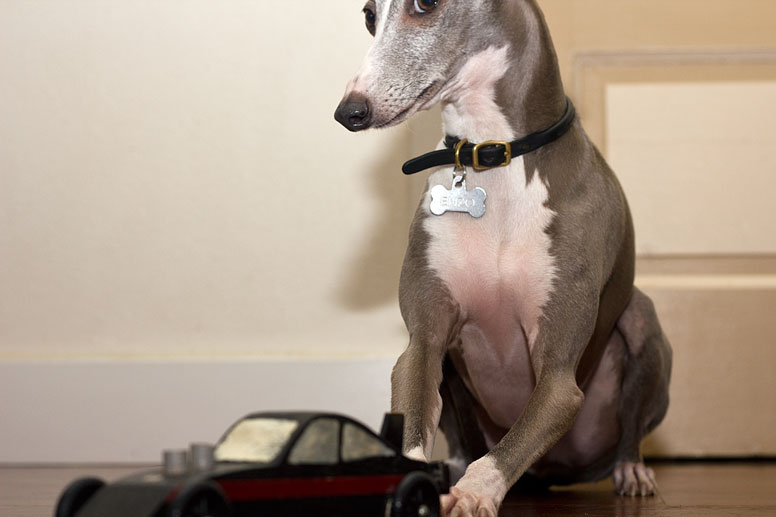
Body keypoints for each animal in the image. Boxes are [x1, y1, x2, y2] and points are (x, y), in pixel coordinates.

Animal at [334, 2, 672, 512]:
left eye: (425, 5)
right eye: (369, 16)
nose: (349, 111)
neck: (491, 159)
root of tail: (554, 472)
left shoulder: (558, 379)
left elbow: (504, 451)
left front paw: (472, 494)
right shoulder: (423, 345)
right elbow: (415, 415)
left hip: (641, 323)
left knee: (627, 421)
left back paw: (632, 470)